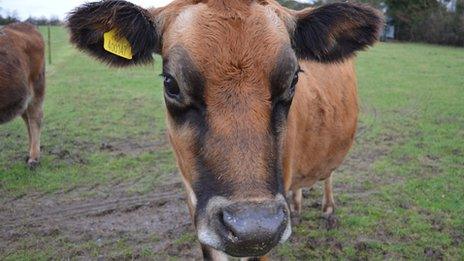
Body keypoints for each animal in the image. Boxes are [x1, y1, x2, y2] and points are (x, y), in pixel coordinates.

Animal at [67, 0, 382, 258]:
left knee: (328, 174)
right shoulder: (196, 204)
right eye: (171, 83)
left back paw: (328, 210)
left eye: (293, 80)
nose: (253, 227)